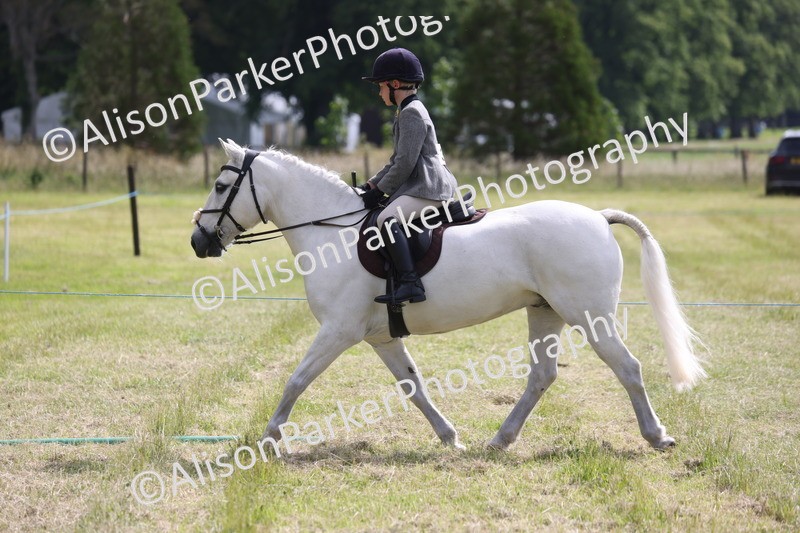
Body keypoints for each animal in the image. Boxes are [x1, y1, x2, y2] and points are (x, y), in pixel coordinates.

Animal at [190, 139, 706, 452]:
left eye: (220, 185)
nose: (199, 242)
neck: (331, 232)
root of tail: (598, 217)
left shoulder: (339, 331)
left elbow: (296, 380)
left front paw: (269, 439)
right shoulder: (381, 337)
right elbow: (413, 386)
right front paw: (449, 437)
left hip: (588, 316)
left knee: (627, 367)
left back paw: (657, 436)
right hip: (545, 313)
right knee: (542, 375)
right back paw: (500, 440)